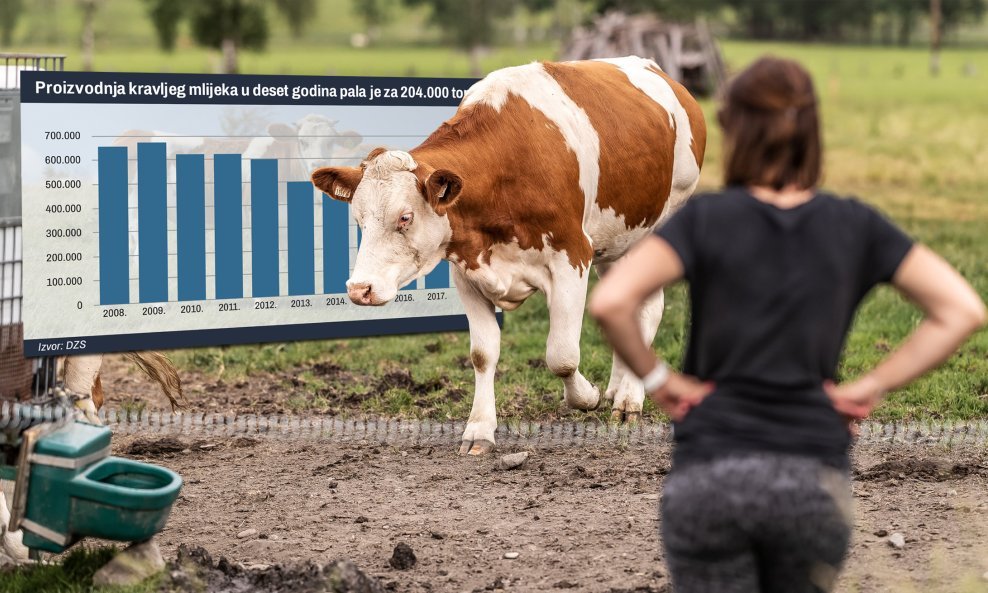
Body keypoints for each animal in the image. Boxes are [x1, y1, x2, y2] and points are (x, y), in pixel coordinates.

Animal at [308, 56, 704, 454]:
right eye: (358, 218)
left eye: (405, 217)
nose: (359, 289)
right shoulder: (467, 271)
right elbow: (483, 355)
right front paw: (480, 429)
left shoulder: (572, 255)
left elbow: (562, 356)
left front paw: (586, 397)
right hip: (617, 242)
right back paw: (616, 389)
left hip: (658, 229)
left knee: (649, 311)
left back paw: (629, 399)